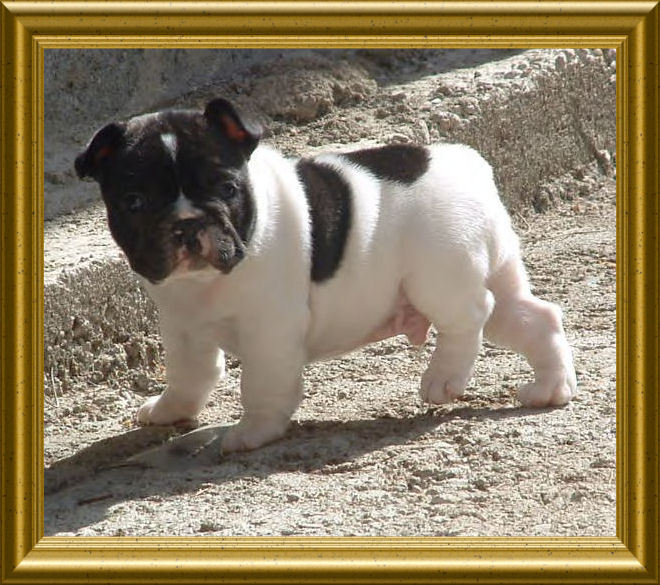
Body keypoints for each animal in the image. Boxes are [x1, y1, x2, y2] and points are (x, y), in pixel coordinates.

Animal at [75, 97, 577, 452]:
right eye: (134, 202)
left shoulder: (269, 328)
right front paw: (168, 410)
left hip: (438, 273)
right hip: (496, 270)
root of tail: (468, 166)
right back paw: (551, 388)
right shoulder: (183, 330)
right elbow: (189, 375)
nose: (186, 223)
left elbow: (262, 382)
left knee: (470, 314)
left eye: (227, 189)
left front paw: (254, 431)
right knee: (532, 316)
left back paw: (443, 378)